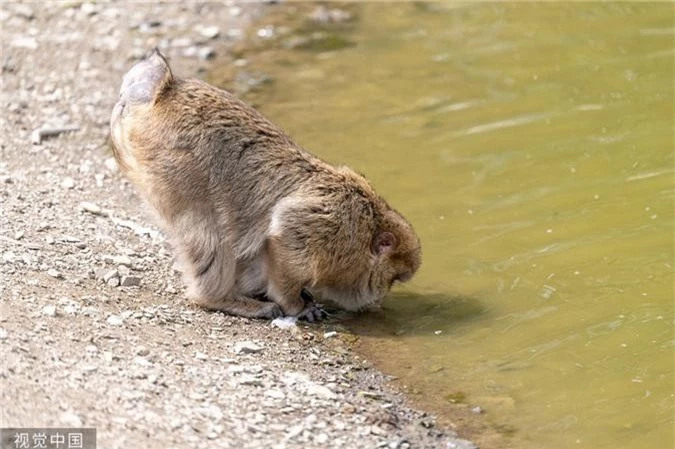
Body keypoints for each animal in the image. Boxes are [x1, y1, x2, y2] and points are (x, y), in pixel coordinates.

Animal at [108, 50, 420, 320]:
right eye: (393, 278)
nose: (379, 297)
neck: (369, 223)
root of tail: (164, 91)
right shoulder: (334, 225)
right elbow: (286, 230)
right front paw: (296, 304)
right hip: (176, 169)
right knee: (208, 232)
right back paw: (218, 298)